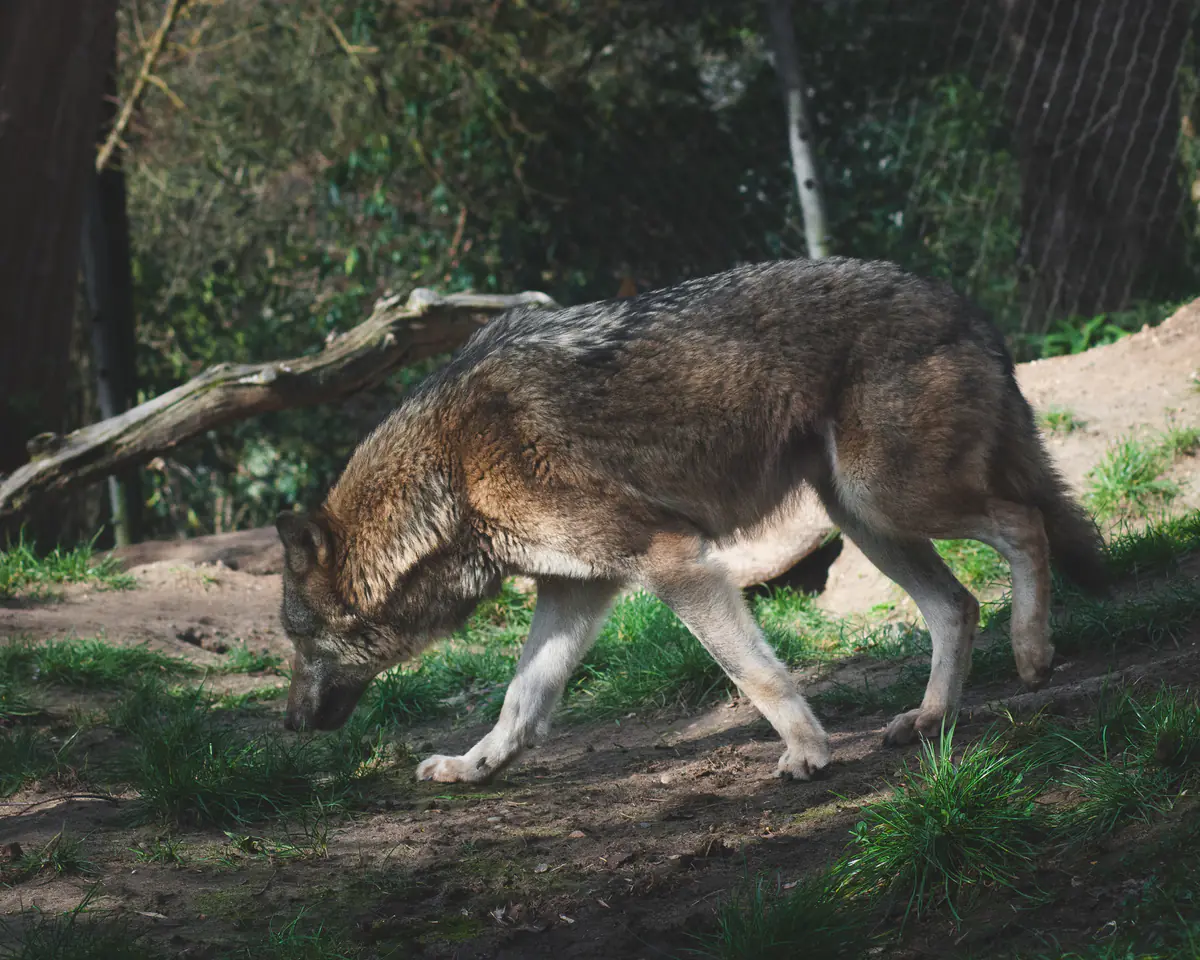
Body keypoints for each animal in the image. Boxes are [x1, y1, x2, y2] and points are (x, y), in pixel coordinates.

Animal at [275, 257, 1107, 783]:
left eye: (298, 640)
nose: (286, 725)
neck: (450, 474)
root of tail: (969, 309)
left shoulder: (673, 559)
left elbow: (755, 674)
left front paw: (808, 754)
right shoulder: (574, 591)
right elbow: (520, 702)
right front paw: (471, 768)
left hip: (888, 499)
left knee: (1025, 524)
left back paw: (1033, 653)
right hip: (864, 516)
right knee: (958, 605)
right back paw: (932, 719)